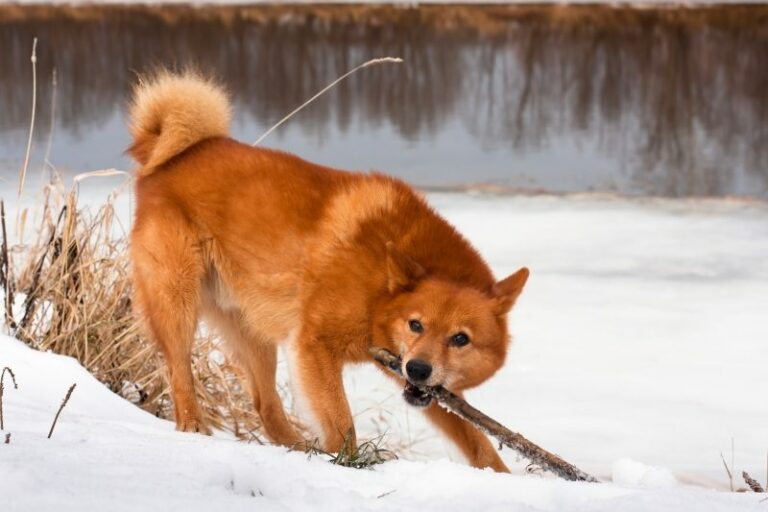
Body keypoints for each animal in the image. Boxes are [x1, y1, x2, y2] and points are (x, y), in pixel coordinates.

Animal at [127, 71, 529, 473]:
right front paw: (348, 464)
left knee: (267, 408)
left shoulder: (432, 387)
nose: (417, 369)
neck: (380, 289)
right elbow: (341, 424)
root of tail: (166, 159)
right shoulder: (314, 346)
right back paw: (193, 425)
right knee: (180, 372)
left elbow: (478, 442)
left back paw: (298, 449)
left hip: (254, 333)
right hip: (178, 303)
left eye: (460, 339)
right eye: (415, 324)